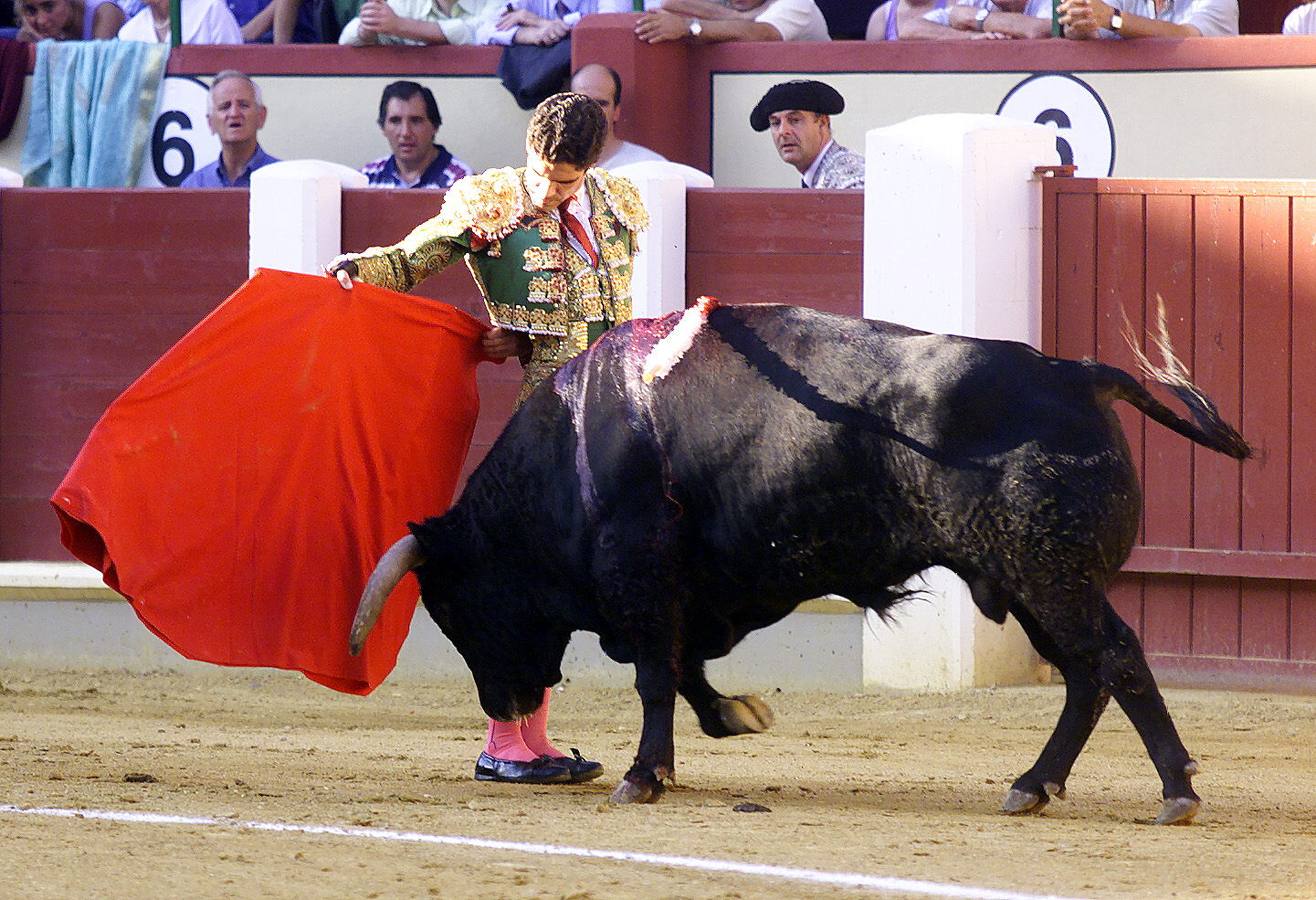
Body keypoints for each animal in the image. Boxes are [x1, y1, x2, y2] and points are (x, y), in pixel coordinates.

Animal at [352, 300, 1252, 821]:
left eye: (455, 605)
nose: (503, 704)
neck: (575, 445)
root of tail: (1079, 373)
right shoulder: (689, 591)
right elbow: (682, 671)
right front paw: (732, 718)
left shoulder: (642, 578)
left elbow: (653, 676)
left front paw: (643, 774)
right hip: (1031, 583)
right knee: (1086, 675)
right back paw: (1037, 786)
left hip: (1049, 576)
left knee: (1113, 658)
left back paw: (1172, 790)